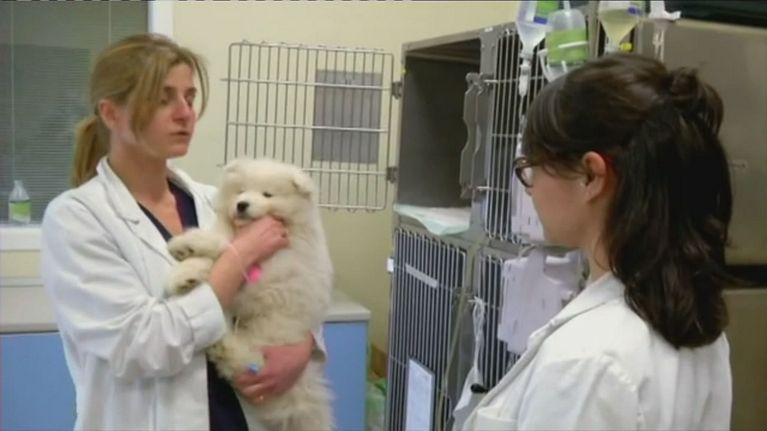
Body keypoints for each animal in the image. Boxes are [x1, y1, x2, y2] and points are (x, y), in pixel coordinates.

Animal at [166, 158, 334, 431]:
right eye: (241, 191)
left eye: (267, 194)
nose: (242, 204)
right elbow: (221, 245)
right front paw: (185, 266)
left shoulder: (269, 270)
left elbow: (225, 248)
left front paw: (191, 249)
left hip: (269, 336)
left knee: (247, 361)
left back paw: (223, 345)